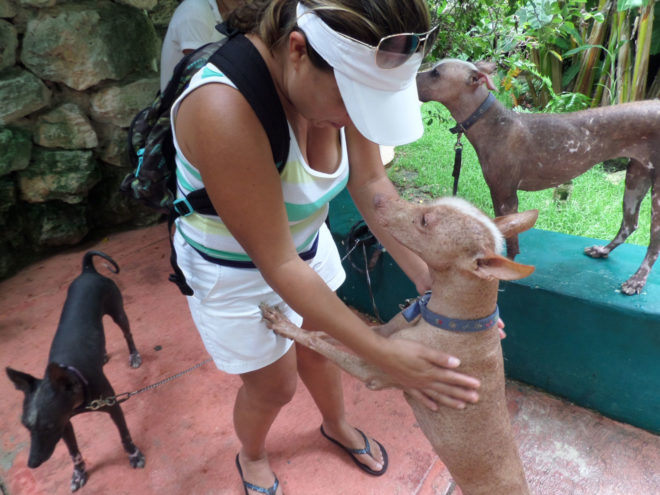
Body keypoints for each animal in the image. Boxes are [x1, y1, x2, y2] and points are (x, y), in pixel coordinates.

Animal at [5, 252, 145, 492]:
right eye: (26, 426)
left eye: (48, 426)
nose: (32, 463)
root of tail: (88, 270)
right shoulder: (65, 423)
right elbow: (73, 452)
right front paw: (78, 473)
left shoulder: (113, 406)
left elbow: (124, 434)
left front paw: (133, 454)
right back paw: (103, 355)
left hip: (117, 311)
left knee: (127, 334)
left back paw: (133, 355)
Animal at [260, 196, 540, 494]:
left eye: (426, 220)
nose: (379, 199)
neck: (452, 321)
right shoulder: (380, 337)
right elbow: (327, 335)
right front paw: (296, 327)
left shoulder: (373, 369)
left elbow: (318, 341)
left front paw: (283, 325)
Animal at [416, 60, 660, 296]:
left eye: (436, 73)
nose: (413, 75)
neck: (494, 124)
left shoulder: (505, 195)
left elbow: (510, 239)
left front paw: (505, 268)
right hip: (636, 178)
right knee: (629, 224)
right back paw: (603, 250)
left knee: (653, 242)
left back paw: (637, 280)